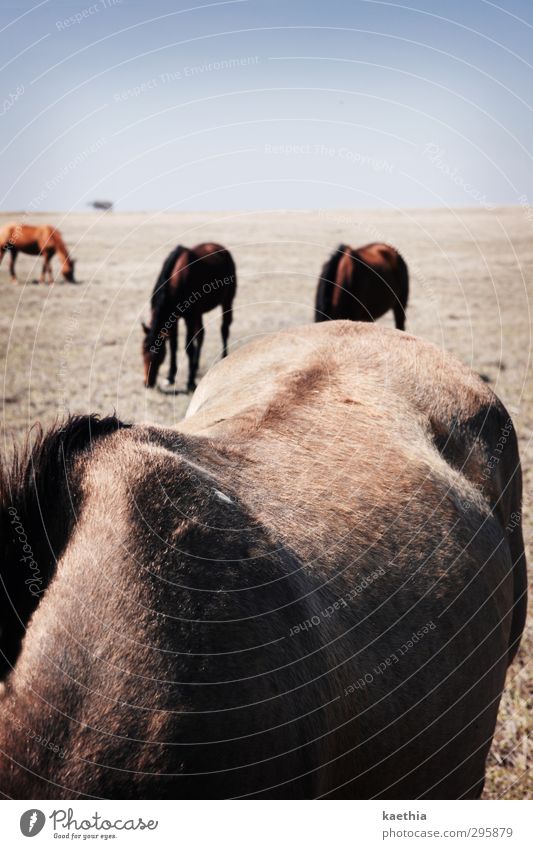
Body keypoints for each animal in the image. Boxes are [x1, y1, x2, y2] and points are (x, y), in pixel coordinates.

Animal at [141, 240, 235, 390]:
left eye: (157, 356)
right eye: (142, 352)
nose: (147, 383)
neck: (176, 280)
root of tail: (221, 248)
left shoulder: (189, 317)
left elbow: (188, 347)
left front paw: (190, 382)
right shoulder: (174, 318)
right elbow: (174, 346)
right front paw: (170, 377)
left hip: (227, 301)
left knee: (224, 330)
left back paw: (223, 359)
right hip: (200, 313)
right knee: (201, 335)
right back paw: (195, 367)